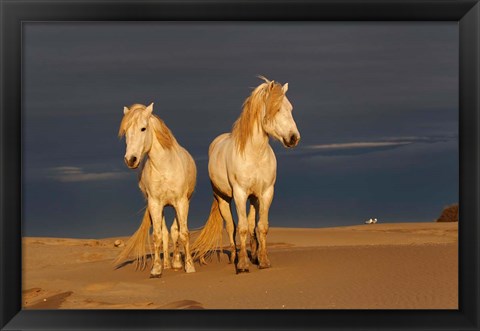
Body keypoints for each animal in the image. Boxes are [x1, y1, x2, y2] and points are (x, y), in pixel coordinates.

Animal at [115, 103, 196, 278]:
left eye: (143, 128)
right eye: (125, 131)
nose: (130, 160)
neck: (165, 167)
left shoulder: (181, 202)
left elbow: (183, 233)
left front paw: (189, 266)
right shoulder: (155, 204)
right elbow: (158, 236)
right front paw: (156, 269)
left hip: (179, 204)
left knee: (175, 231)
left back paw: (177, 262)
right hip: (162, 207)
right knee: (165, 233)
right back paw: (167, 264)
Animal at [191, 77, 300, 272]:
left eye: (290, 108)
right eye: (277, 109)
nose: (294, 138)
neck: (254, 154)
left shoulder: (266, 193)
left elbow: (261, 227)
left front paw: (263, 260)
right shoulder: (240, 194)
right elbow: (240, 228)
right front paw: (242, 265)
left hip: (254, 198)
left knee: (251, 226)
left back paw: (254, 255)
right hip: (223, 199)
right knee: (231, 227)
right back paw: (235, 257)